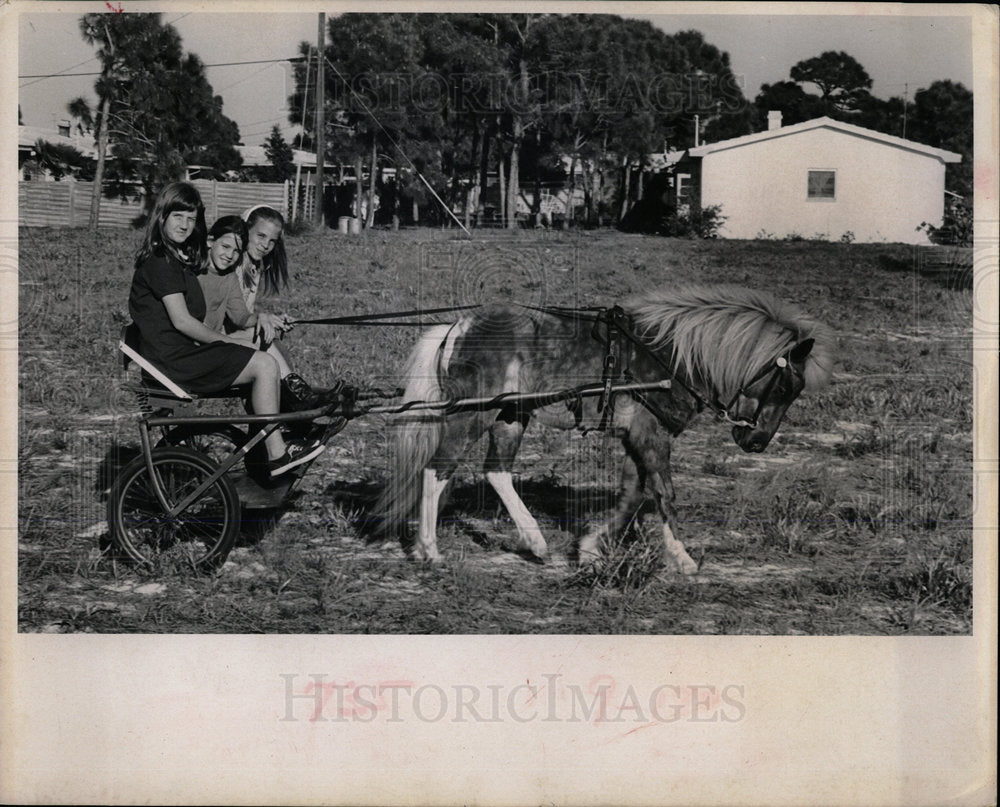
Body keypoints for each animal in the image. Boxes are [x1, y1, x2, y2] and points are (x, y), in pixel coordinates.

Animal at [372, 288, 832, 572]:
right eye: (787, 386)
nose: (756, 442)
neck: (672, 358)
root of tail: (456, 327)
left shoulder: (633, 438)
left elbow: (633, 495)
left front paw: (592, 547)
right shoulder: (651, 436)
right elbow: (664, 493)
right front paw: (682, 558)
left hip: (509, 416)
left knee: (496, 472)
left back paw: (535, 542)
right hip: (473, 417)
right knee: (436, 471)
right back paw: (430, 550)